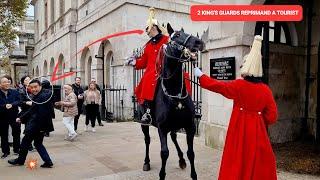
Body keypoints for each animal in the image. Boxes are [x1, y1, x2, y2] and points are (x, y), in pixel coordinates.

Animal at [139, 22, 205, 180]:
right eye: (177, 35)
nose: (199, 43)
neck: (174, 92)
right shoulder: (162, 128)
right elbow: (164, 153)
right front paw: (162, 175)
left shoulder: (189, 126)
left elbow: (191, 153)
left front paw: (193, 174)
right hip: (145, 124)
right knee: (147, 140)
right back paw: (146, 162)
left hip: (175, 125)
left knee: (174, 137)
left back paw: (181, 160)